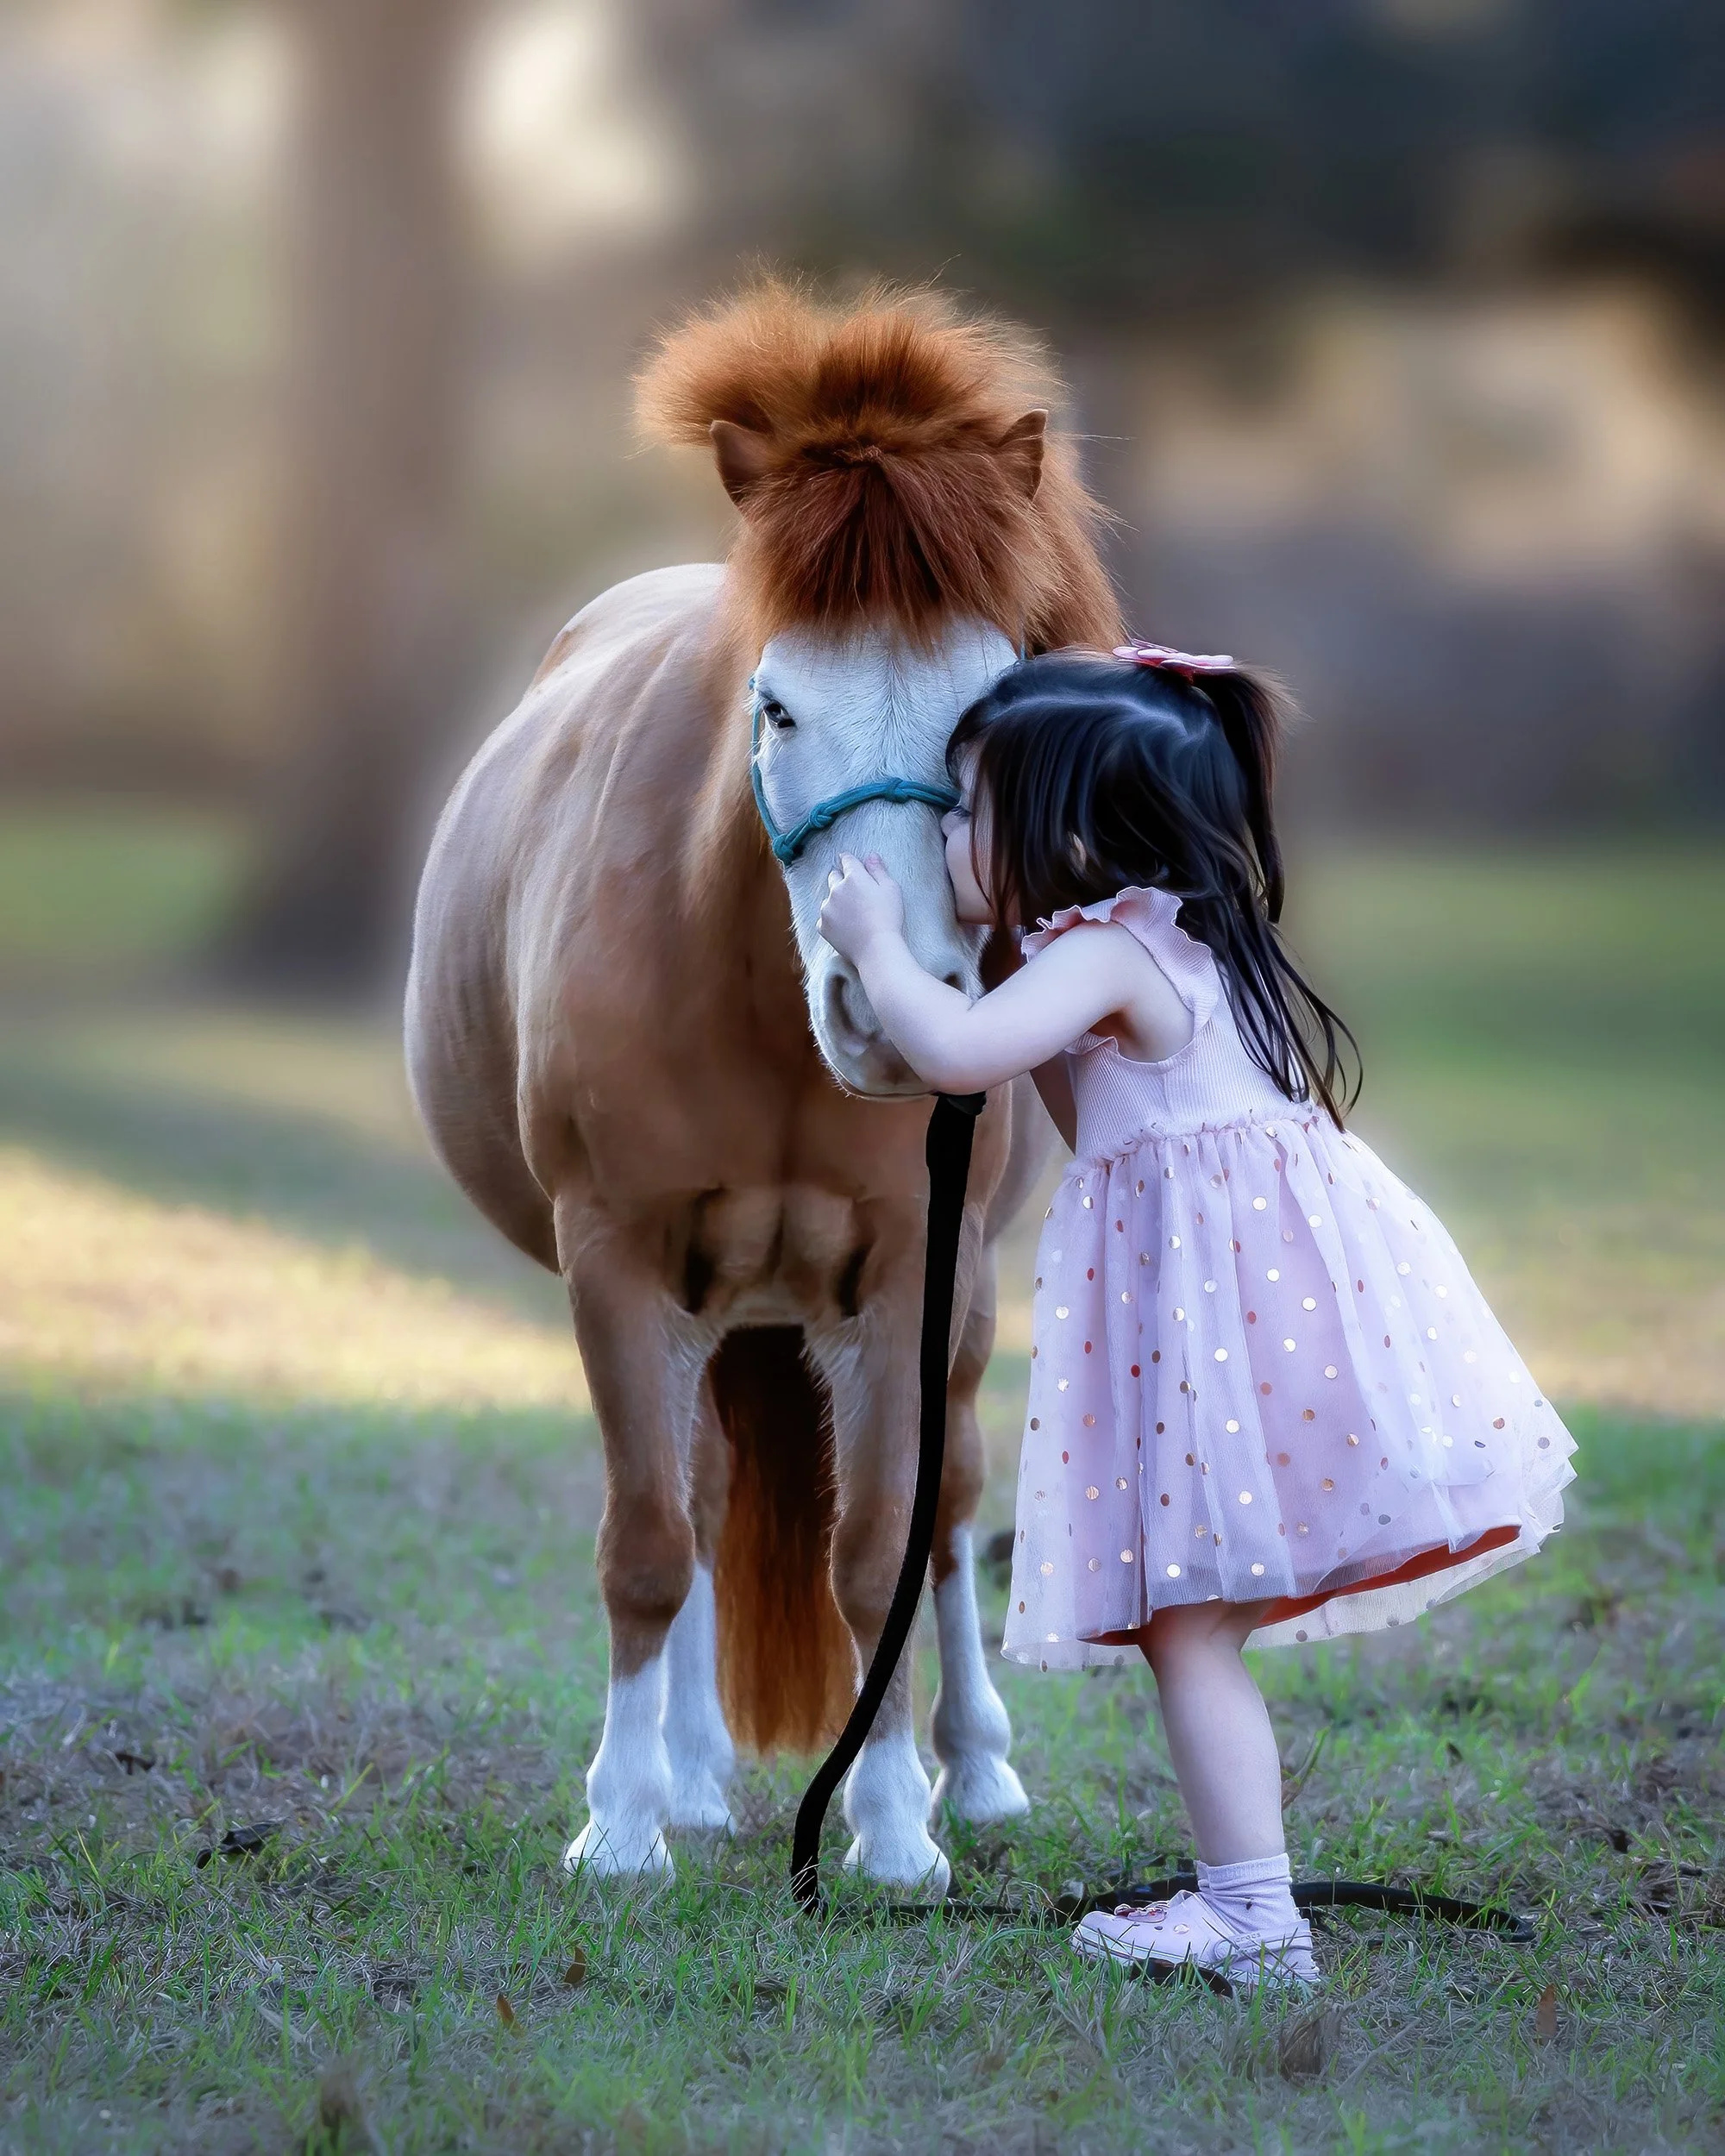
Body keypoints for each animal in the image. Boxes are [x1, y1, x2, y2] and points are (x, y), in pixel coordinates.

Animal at [405, 281, 1122, 1892]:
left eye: (987, 708)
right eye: (778, 706)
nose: (893, 1013)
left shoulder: (914, 1273)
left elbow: (881, 1548)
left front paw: (893, 1828)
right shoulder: (616, 1260)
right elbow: (648, 1545)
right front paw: (618, 1828)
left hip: (952, 1306)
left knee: (955, 1504)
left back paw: (976, 1770)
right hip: (713, 1306)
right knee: (703, 1501)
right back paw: (683, 1774)